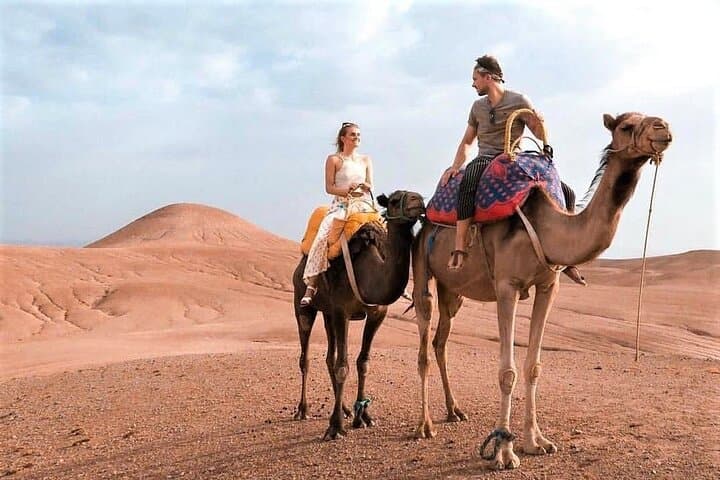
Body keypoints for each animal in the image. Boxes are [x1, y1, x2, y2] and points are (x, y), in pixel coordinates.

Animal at [292, 189, 426, 440]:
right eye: (395, 200)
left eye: (419, 197)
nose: (419, 201)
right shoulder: (341, 311)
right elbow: (343, 366)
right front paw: (335, 427)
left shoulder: (376, 313)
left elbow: (362, 362)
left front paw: (363, 417)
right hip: (303, 304)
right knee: (306, 357)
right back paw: (303, 410)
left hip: (327, 313)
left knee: (329, 356)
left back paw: (344, 409)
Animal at [411, 112, 672, 469]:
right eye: (626, 126)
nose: (663, 128)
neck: (547, 227)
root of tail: (426, 218)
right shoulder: (506, 286)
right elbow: (507, 372)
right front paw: (503, 451)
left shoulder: (549, 285)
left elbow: (533, 366)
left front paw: (536, 442)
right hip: (422, 266)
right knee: (424, 344)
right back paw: (424, 425)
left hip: (453, 290)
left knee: (441, 342)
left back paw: (454, 411)